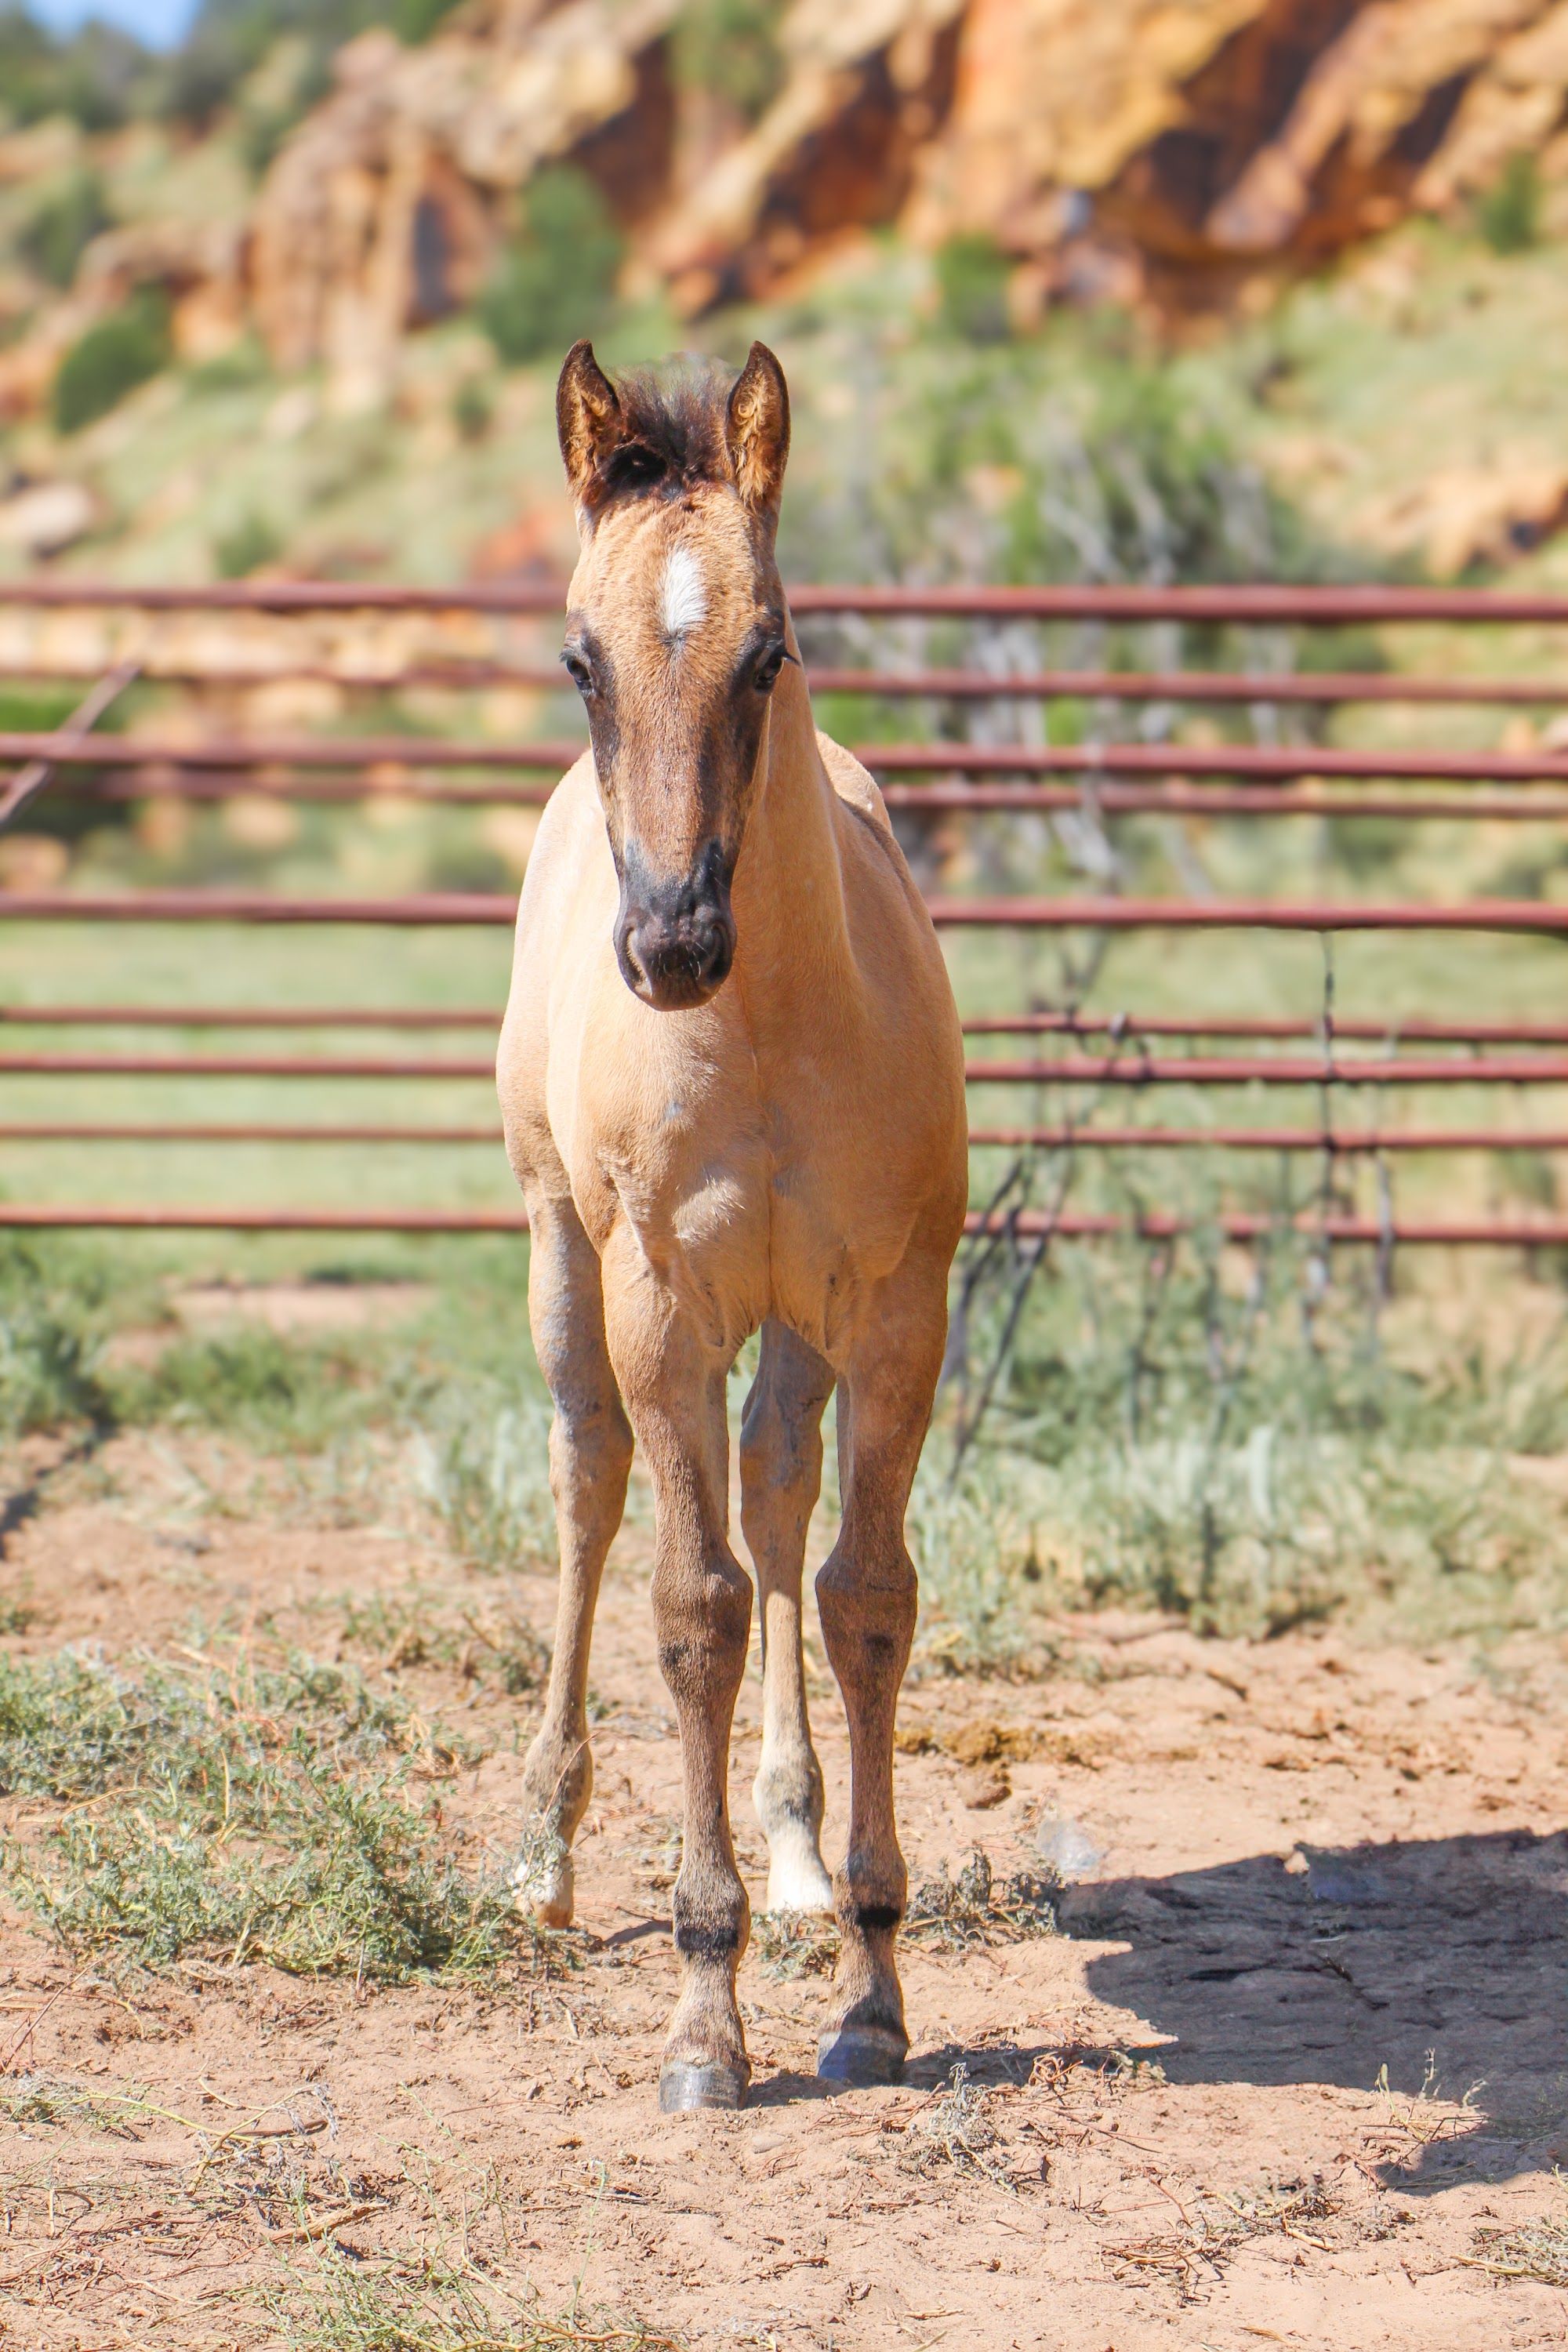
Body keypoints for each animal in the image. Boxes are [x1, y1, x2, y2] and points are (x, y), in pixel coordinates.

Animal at [496, 338, 967, 2112]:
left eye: (769, 652)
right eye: (579, 661)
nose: (674, 943)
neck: (761, 1031)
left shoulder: (896, 1306)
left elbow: (862, 1598)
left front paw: (871, 1992)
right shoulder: (665, 1305)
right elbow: (687, 1608)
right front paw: (706, 2017)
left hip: (802, 1326)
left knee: (776, 1501)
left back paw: (800, 1853)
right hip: (563, 1258)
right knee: (587, 1488)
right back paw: (543, 1853)